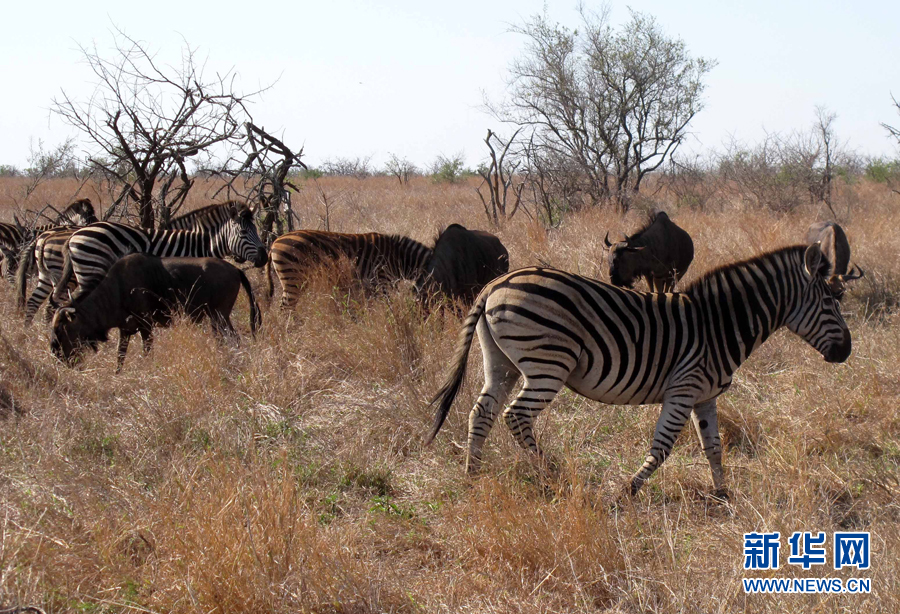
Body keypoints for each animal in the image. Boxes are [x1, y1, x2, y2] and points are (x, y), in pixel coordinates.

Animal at [268, 229, 432, 310]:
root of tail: (274, 242)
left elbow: (367, 308)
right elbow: (388, 306)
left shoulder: (370, 288)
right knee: (286, 307)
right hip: (293, 278)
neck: (398, 257)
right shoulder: (381, 281)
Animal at [428, 243, 852, 498]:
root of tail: (495, 284)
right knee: (516, 416)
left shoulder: (704, 395)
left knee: (482, 411)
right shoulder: (683, 388)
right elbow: (662, 446)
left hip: (502, 363)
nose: (847, 352)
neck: (718, 325)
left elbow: (713, 446)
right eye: (830, 302)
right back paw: (551, 474)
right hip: (549, 363)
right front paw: (629, 490)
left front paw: (722, 495)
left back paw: (472, 474)